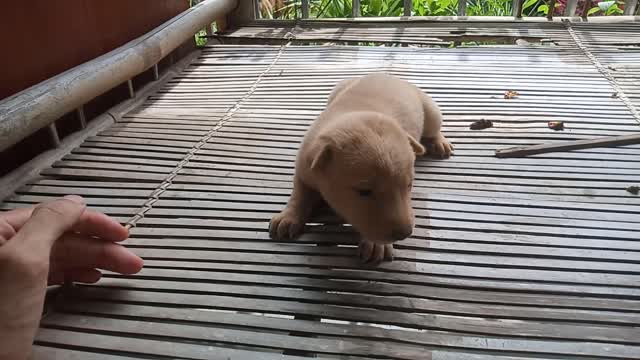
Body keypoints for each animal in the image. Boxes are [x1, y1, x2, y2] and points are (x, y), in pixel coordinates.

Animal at [270, 74, 456, 264]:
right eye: (364, 191)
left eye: (409, 185)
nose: (405, 233)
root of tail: (387, 75)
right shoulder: (305, 166)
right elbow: (299, 193)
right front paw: (287, 218)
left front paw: (376, 244)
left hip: (430, 110)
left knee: (434, 128)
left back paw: (440, 143)